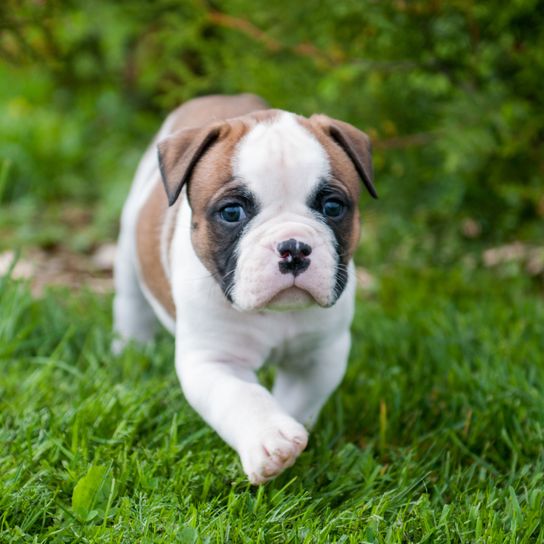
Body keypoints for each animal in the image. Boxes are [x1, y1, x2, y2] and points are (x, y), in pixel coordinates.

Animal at [112, 93, 376, 484]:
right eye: (232, 213)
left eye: (332, 207)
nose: (293, 248)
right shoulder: (214, 360)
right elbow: (242, 396)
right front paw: (270, 439)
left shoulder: (319, 355)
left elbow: (297, 399)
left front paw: (291, 433)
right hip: (129, 246)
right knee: (131, 302)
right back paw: (129, 349)